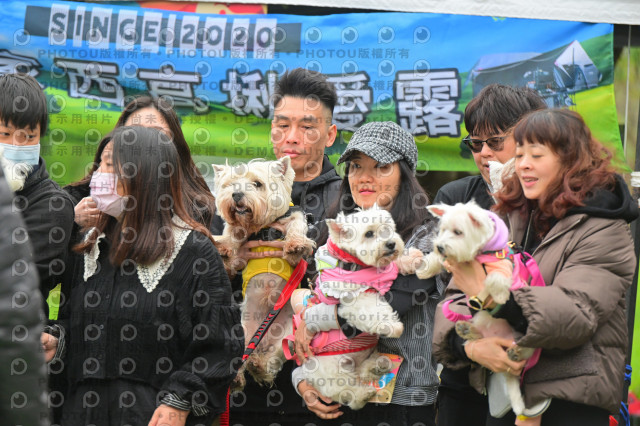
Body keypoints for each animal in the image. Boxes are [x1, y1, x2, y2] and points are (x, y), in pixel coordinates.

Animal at [212, 156, 315, 389]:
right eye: (230, 184)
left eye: (257, 183)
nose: (236, 195)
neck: (263, 226)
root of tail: (262, 339)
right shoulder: (240, 230)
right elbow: (231, 231)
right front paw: (224, 246)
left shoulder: (294, 217)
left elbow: (296, 228)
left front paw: (295, 245)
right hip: (240, 332)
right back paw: (237, 377)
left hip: (288, 336)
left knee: (273, 359)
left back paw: (259, 366)